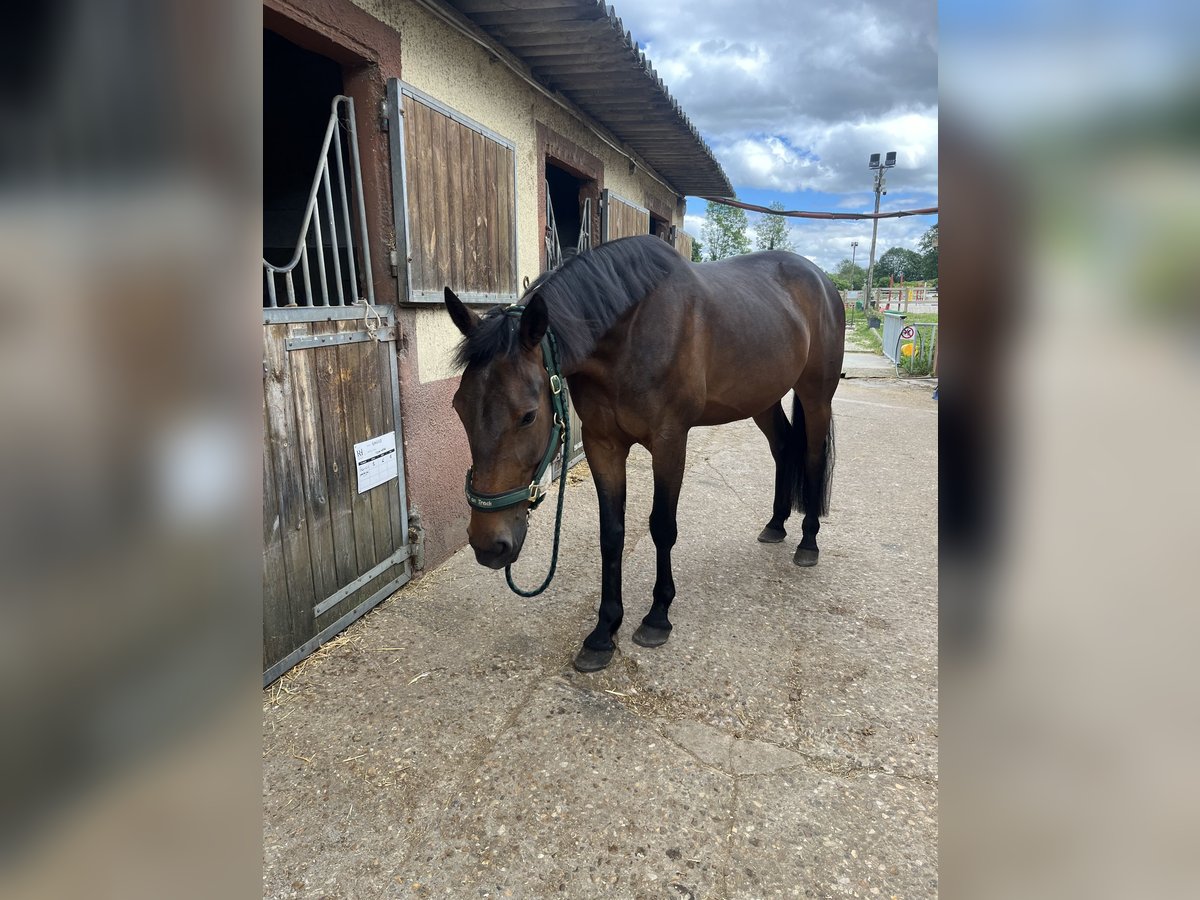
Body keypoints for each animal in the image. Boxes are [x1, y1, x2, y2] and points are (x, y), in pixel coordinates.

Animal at [441, 236, 844, 672]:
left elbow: (662, 527)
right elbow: (611, 534)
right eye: (458, 407)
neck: (629, 334)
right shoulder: (604, 446)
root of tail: (821, 280)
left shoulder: (669, 443)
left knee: (812, 458)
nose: (488, 545)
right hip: (762, 399)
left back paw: (808, 543)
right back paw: (775, 524)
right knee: (783, 447)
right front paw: (603, 632)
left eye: (528, 416)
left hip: (815, 396)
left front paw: (657, 617)